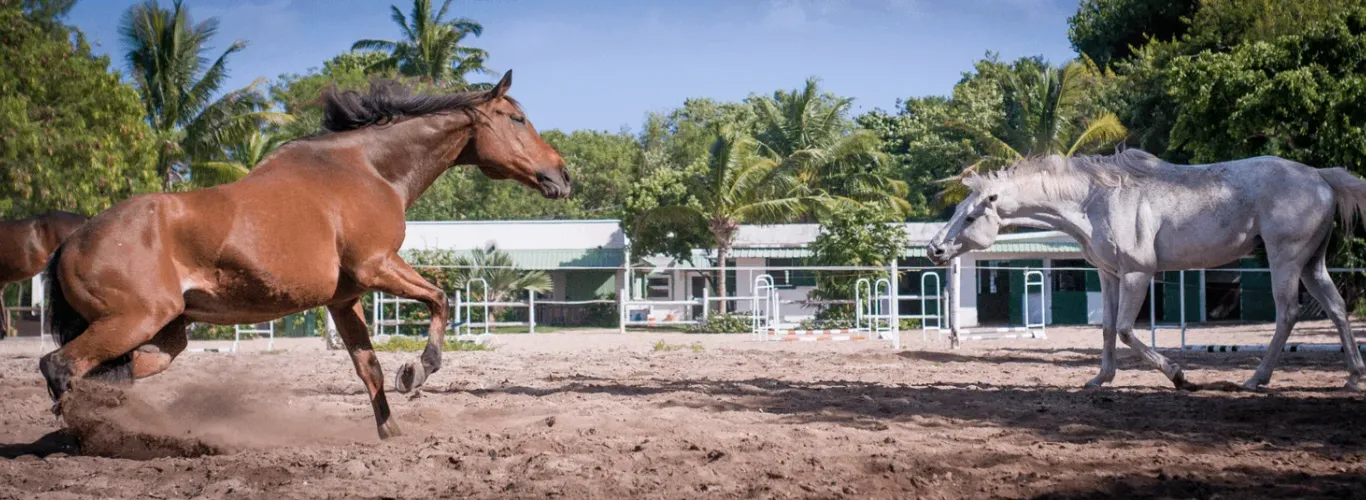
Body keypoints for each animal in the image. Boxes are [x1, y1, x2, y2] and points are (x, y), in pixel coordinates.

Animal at [40, 71, 570, 439]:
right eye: (518, 119)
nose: (562, 176)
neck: (368, 169)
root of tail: (71, 242)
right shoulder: (376, 266)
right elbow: (438, 301)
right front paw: (416, 372)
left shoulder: (344, 299)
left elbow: (369, 367)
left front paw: (391, 431)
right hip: (135, 320)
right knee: (61, 366)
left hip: (166, 337)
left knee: (100, 376)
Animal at [926, 149, 1366, 392]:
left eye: (970, 217)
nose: (935, 249)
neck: (1095, 198)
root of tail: (1321, 177)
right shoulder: (1109, 275)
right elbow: (1106, 329)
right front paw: (1100, 380)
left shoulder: (1138, 274)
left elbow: (1125, 330)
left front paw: (1178, 375)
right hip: (1311, 264)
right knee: (1337, 309)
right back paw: (1353, 377)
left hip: (1285, 260)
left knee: (1288, 313)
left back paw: (1257, 379)